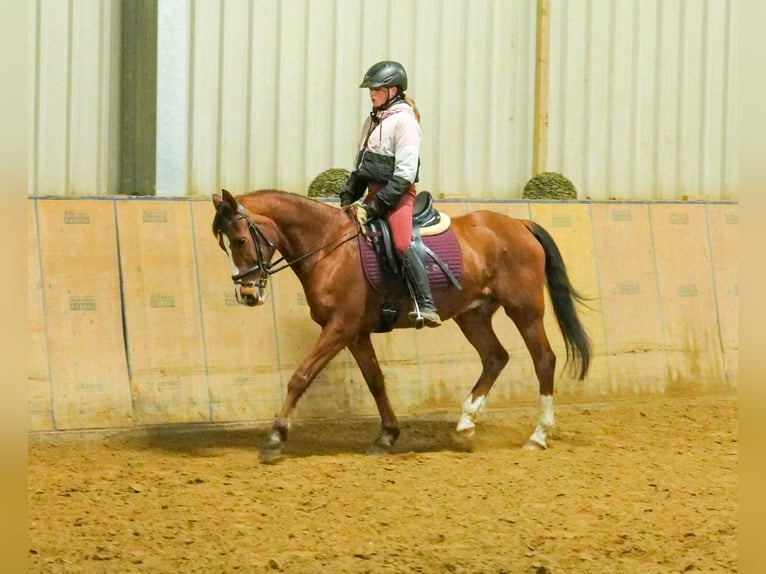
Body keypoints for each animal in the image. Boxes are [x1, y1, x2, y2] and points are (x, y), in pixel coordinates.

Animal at [212, 189, 592, 464]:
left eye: (240, 240)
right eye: (224, 245)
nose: (247, 295)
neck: (329, 248)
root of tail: (519, 224)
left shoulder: (339, 327)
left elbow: (300, 376)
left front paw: (274, 439)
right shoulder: (356, 332)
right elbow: (376, 381)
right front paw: (387, 436)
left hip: (525, 310)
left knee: (543, 359)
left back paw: (537, 436)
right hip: (472, 315)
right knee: (495, 357)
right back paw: (465, 425)